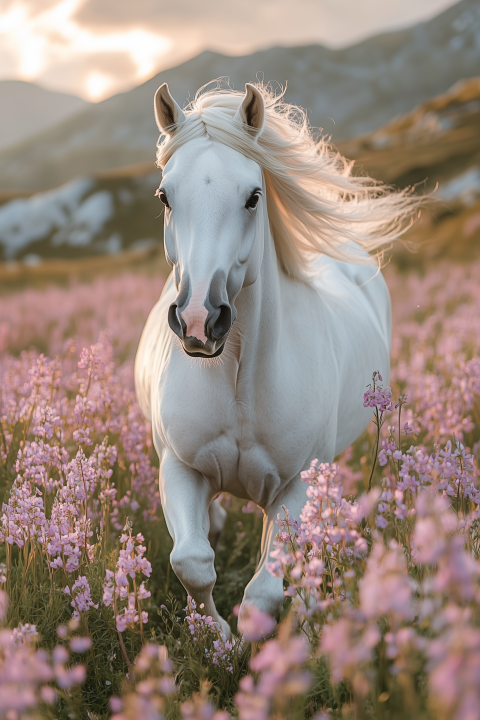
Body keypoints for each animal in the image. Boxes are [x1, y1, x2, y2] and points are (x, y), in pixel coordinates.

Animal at [135, 81, 420, 636]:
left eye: (253, 196)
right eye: (164, 196)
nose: (200, 319)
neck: (238, 378)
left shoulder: (293, 488)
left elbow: (264, 592)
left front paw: (254, 641)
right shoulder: (179, 468)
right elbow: (192, 561)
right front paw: (216, 637)